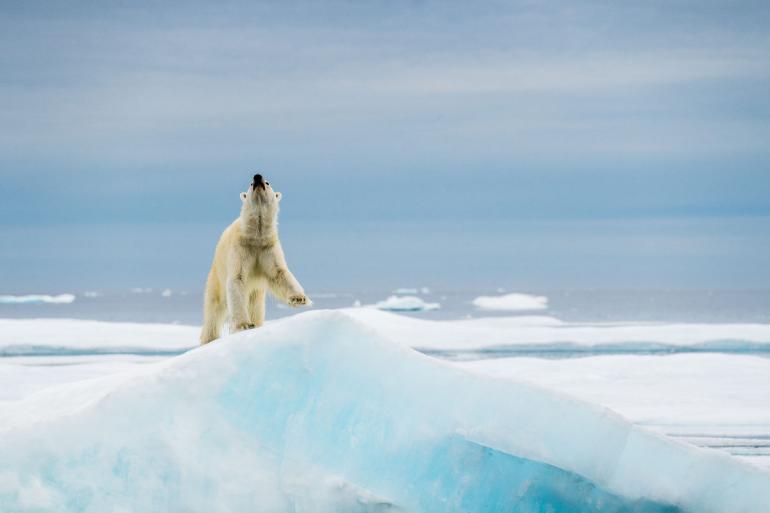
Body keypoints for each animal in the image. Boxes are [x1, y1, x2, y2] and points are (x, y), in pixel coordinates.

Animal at [200, 173, 310, 344]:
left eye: (267, 182)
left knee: (256, 309)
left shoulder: (267, 248)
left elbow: (279, 273)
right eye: (251, 184)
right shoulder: (241, 248)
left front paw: (299, 299)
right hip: (216, 279)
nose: (257, 177)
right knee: (214, 311)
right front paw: (245, 324)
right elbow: (237, 279)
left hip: (257, 293)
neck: (255, 236)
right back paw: (209, 339)